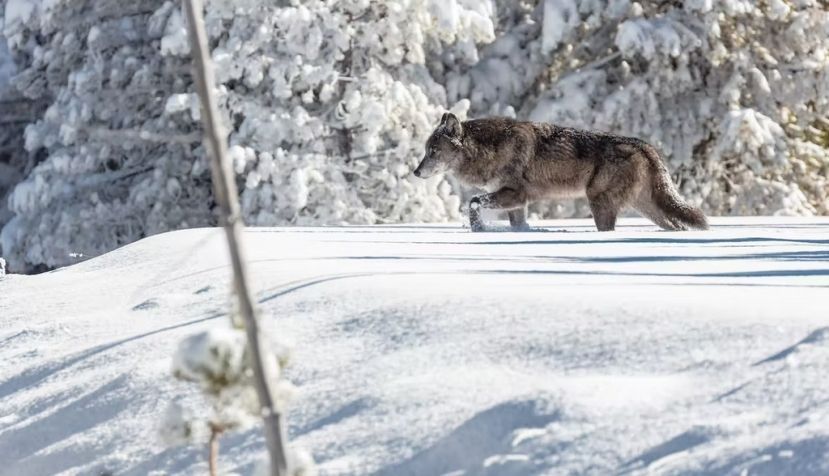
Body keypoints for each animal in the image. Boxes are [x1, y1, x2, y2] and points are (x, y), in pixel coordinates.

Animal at [413, 113, 708, 232]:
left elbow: (473, 202)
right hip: (647, 208)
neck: (490, 150)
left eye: (433, 151)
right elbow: (517, 225)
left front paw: (478, 229)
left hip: (599, 203)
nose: (416, 172)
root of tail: (645, 146)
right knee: (677, 225)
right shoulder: (516, 203)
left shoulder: (515, 195)